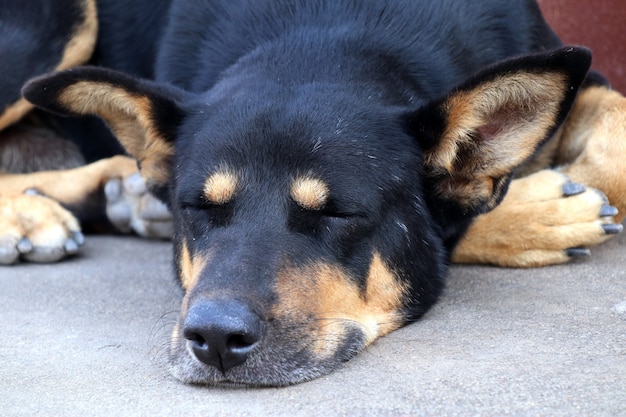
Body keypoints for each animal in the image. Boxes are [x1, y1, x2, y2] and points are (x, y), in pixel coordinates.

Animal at [2, 0, 620, 386]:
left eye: (340, 213)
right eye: (197, 207)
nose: (216, 337)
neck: (331, 32)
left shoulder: (592, 80)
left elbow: (613, 151)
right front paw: (539, 210)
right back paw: (30, 215)